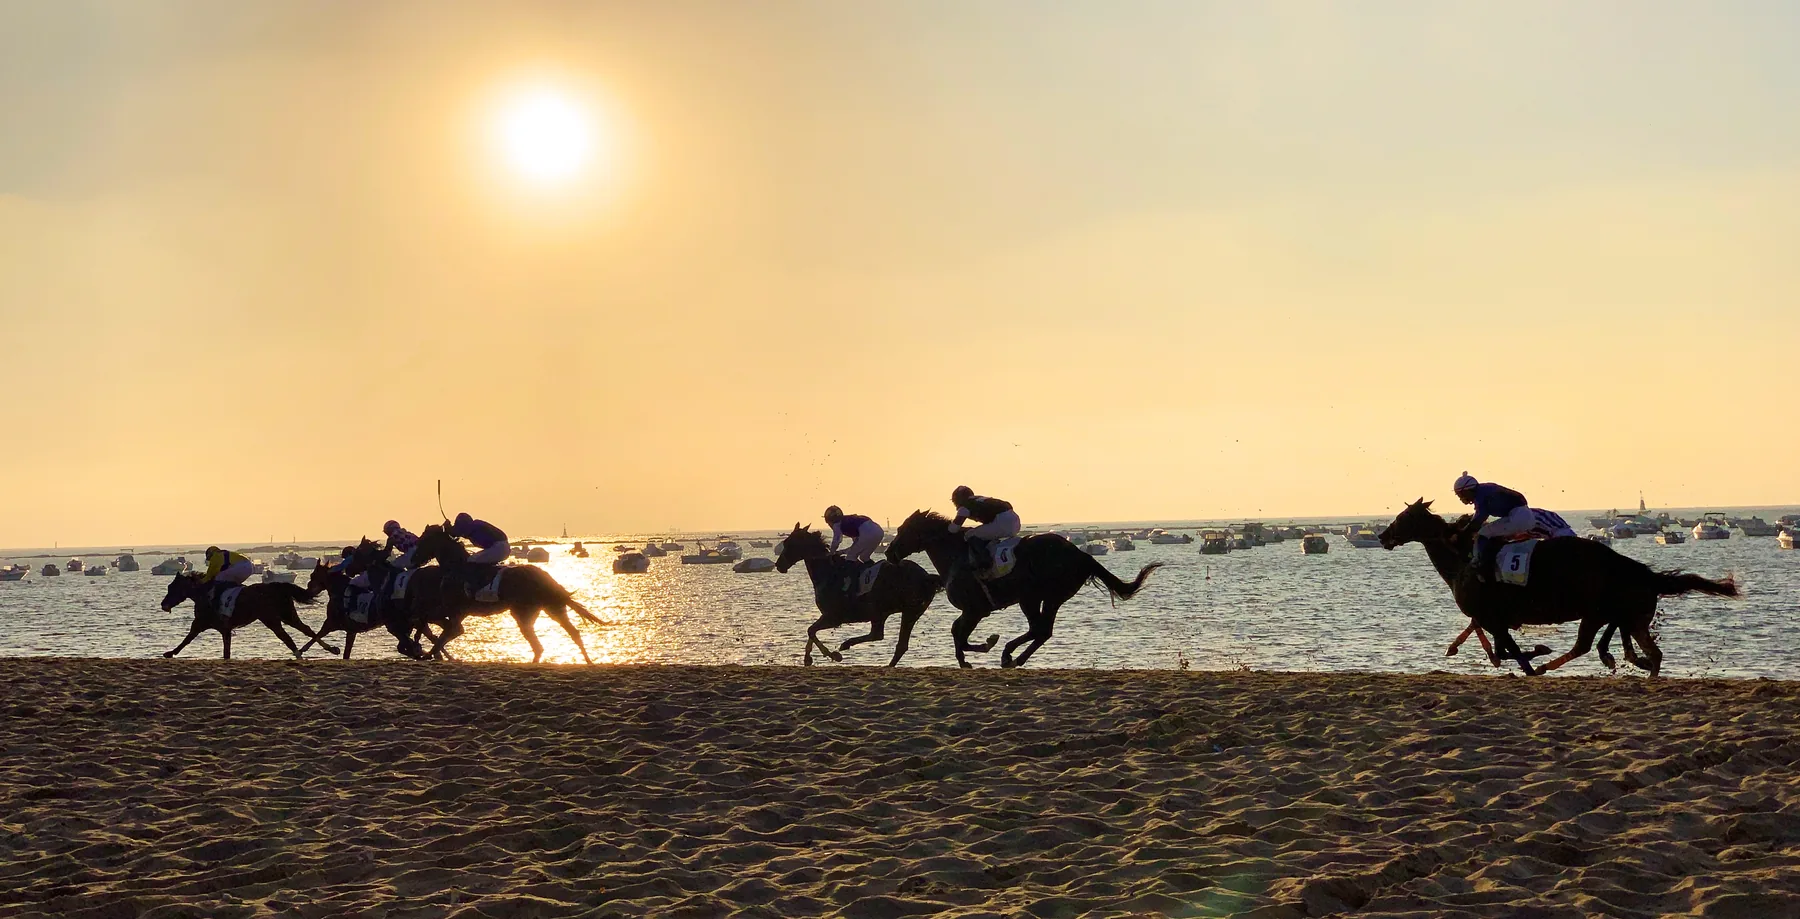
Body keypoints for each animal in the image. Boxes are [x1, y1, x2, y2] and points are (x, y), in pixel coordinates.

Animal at [159, 572, 339, 660]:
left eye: (171, 587)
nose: (163, 604)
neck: (205, 593)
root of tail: (277, 586)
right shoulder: (220, 628)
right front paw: (170, 653)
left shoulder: (208, 625)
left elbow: (187, 639)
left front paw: (170, 653)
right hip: (286, 615)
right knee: (306, 629)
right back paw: (330, 649)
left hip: (271, 619)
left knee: (287, 637)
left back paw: (300, 654)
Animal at [410, 524, 607, 663]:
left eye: (422, 540)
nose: (413, 559)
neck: (456, 566)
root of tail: (544, 577)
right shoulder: (450, 609)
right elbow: (426, 619)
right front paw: (421, 644)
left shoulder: (456, 610)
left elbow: (445, 630)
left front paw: (425, 650)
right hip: (552, 608)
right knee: (571, 633)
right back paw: (588, 661)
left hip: (524, 613)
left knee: (540, 646)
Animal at [773, 523, 941, 666]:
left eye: (788, 543)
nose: (779, 565)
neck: (828, 572)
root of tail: (927, 576)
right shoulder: (829, 616)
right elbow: (811, 631)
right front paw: (808, 658)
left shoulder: (833, 617)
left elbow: (811, 630)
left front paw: (831, 655)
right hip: (894, 612)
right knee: (884, 637)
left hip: (903, 610)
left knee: (890, 640)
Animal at [885, 509, 1161, 668]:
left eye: (902, 530)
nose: (888, 553)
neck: (955, 555)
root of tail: (1080, 554)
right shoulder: (973, 611)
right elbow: (956, 632)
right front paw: (966, 658)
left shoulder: (975, 610)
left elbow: (959, 634)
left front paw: (985, 646)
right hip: (1048, 598)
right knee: (1042, 631)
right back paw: (1016, 657)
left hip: (1033, 597)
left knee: (1039, 629)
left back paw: (1009, 655)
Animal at [1379, 499, 1738, 675]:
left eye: (1403, 517)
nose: (1383, 536)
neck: (1462, 558)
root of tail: (1636, 569)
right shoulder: (1491, 619)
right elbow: (1495, 646)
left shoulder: (1492, 617)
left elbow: (1506, 652)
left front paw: (1537, 654)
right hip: (1615, 613)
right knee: (1632, 647)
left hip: (1599, 611)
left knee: (1592, 645)